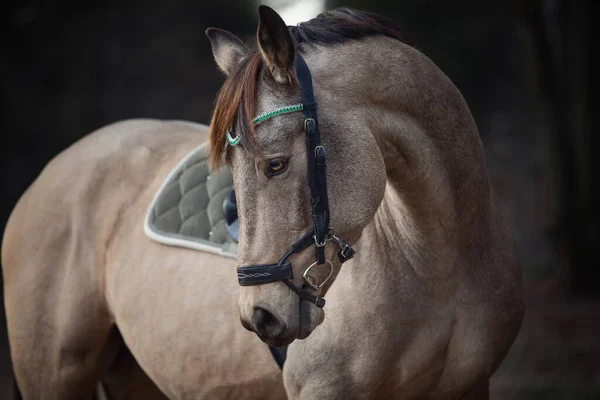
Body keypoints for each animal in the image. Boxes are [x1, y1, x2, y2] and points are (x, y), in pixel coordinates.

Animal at [2, 6, 524, 400]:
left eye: (275, 164)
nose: (259, 316)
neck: (438, 267)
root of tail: (53, 171)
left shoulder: (471, 386)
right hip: (55, 375)